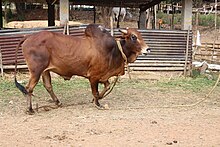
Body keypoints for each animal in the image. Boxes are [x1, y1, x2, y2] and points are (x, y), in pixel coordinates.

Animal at [14, 24, 150, 113]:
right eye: (133, 37)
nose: (148, 49)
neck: (114, 50)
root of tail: (28, 37)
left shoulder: (103, 76)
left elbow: (107, 86)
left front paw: (96, 99)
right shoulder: (94, 77)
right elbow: (95, 91)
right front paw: (97, 103)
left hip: (45, 71)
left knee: (48, 86)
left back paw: (57, 102)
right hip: (36, 71)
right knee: (28, 88)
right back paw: (30, 109)